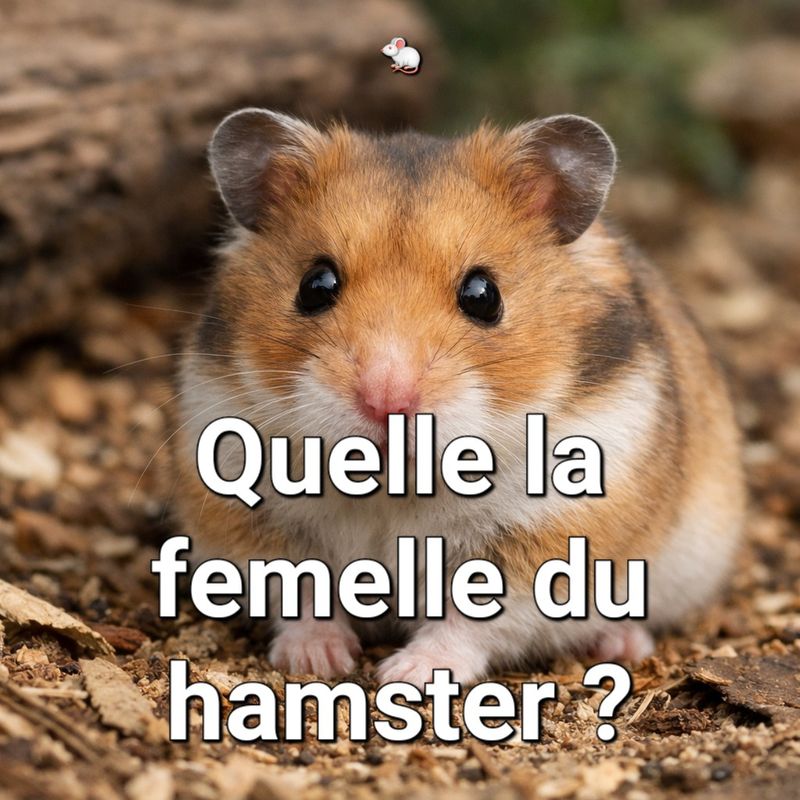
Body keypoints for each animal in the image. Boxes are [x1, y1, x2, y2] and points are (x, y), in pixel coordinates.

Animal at [169, 108, 745, 687]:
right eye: (315, 285)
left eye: (483, 295)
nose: (386, 399)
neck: (395, 486)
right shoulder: (251, 516)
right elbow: (300, 592)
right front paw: (317, 661)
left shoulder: (553, 533)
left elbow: (472, 619)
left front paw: (407, 674)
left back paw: (621, 642)